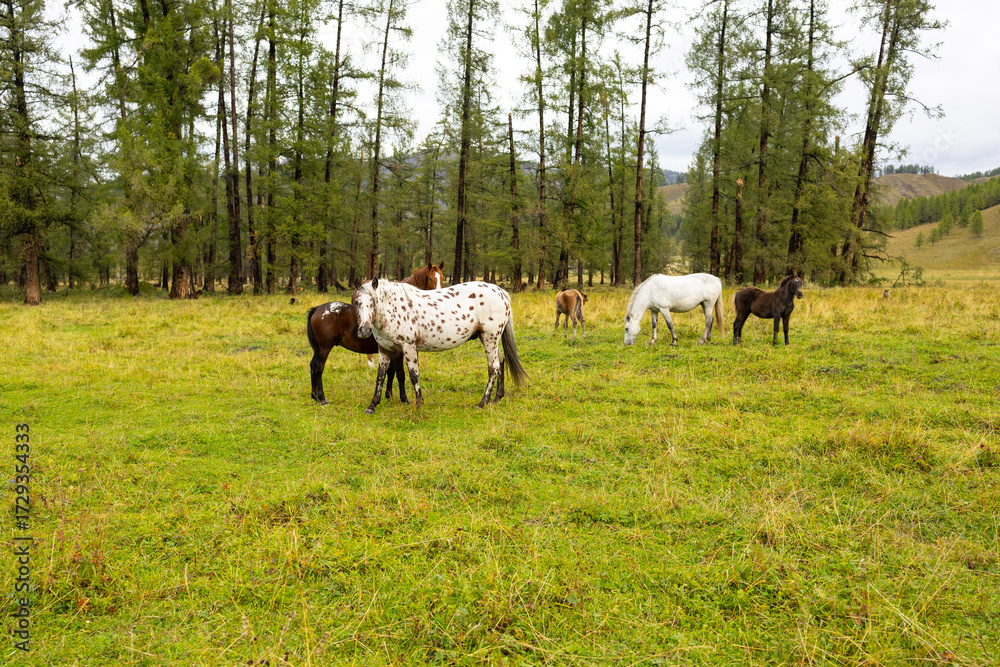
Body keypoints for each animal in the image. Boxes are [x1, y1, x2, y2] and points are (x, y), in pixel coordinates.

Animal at [354, 279, 528, 414]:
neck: (394, 308)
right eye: (357, 302)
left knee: (493, 367)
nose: (363, 330)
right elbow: (380, 376)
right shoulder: (384, 349)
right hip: (489, 338)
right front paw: (372, 405)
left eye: (373, 302)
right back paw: (497, 398)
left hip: (490, 338)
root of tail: (501, 292)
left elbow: (413, 375)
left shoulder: (408, 347)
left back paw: (482, 402)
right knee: (501, 361)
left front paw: (419, 404)